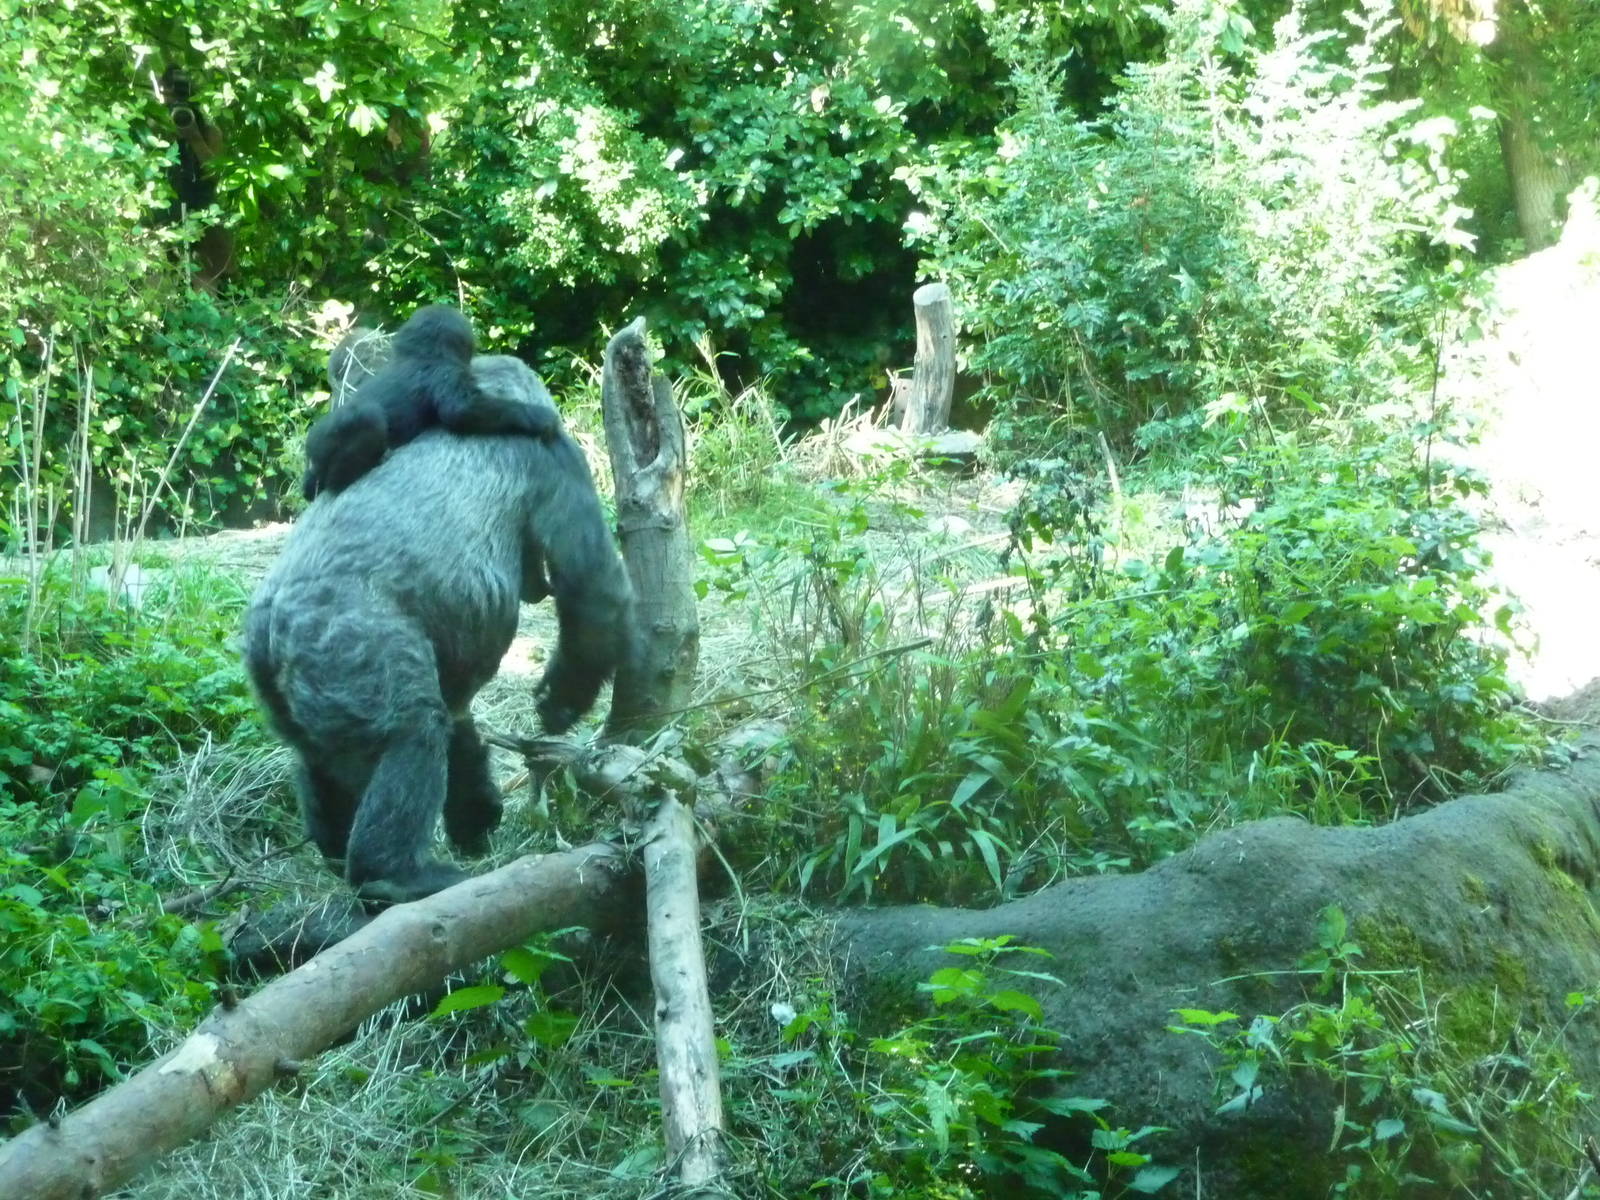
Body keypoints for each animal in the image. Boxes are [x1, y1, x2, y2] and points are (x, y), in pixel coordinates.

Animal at [247, 355, 635, 906]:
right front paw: (562, 701)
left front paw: (477, 812)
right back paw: (391, 873)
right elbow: (594, 590)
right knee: (413, 729)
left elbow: (459, 720)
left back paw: (336, 848)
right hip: (346, 646)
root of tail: (272, 628)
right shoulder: (554, 453)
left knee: (319, 756)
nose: (534, 588)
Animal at [300, 305, 562, 501]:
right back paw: (344, 477)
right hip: (319, 443)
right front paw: (538, 417)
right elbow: (462, 409)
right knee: (366, 417)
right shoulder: (445, 372)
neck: (420, 353)